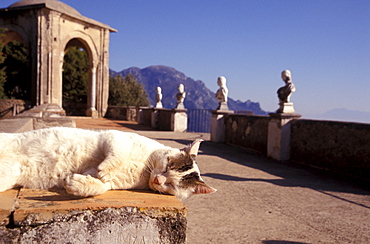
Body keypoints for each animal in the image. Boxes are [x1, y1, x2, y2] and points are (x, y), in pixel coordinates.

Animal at [0, 127, 217, 200]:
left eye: (171, 185)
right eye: (166, 166)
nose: (158, 180)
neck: (144, 169)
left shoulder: (111, 183)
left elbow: (101, 186)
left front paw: (76, 184)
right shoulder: (115, 138)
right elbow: (118, 155)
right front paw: (105, 169)